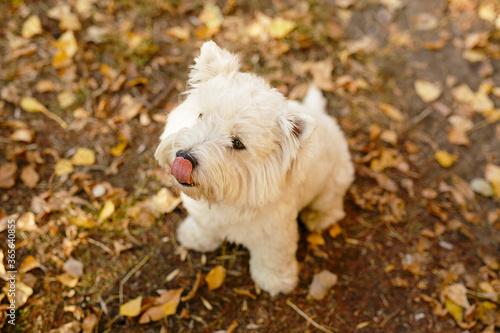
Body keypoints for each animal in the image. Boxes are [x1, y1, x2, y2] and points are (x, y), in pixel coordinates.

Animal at [154, 42, 354, 296]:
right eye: (200, 115)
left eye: (238, 143)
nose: (183, 157)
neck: (227, 196)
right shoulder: (206, 215)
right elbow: (203, 225)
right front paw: (195, 237)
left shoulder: (275, 235)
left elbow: (272, 259)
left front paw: (275, 281)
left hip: (333, 183)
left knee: (332, 207)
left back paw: (318, 217)